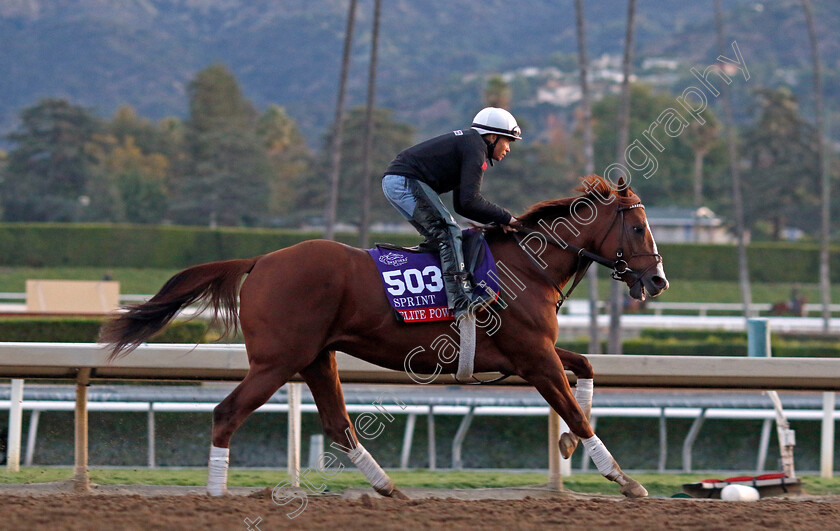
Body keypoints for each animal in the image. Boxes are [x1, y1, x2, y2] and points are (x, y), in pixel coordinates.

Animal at [100, 175, 668, 498]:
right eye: (639, 227)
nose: (657, 281)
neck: (527, 265)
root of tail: (260, 259)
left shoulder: (531, 353)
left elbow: (587, 369)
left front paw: (569, 444)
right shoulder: (533, 357)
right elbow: (575, 406)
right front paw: (625, 480)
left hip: (316, 358)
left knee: (337, 425)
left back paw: (390, 489)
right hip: (277, 362)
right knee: (227, 413)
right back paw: (215, 498)